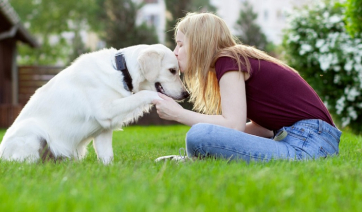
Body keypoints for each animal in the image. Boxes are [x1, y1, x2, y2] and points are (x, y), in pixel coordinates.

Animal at [0, 44, 187, 164]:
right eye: (172, 70)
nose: (186, 94)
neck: (121, 71)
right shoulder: (105, 110)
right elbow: (145, 94)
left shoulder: (103, 128)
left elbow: (107, 156)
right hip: (33, 131)